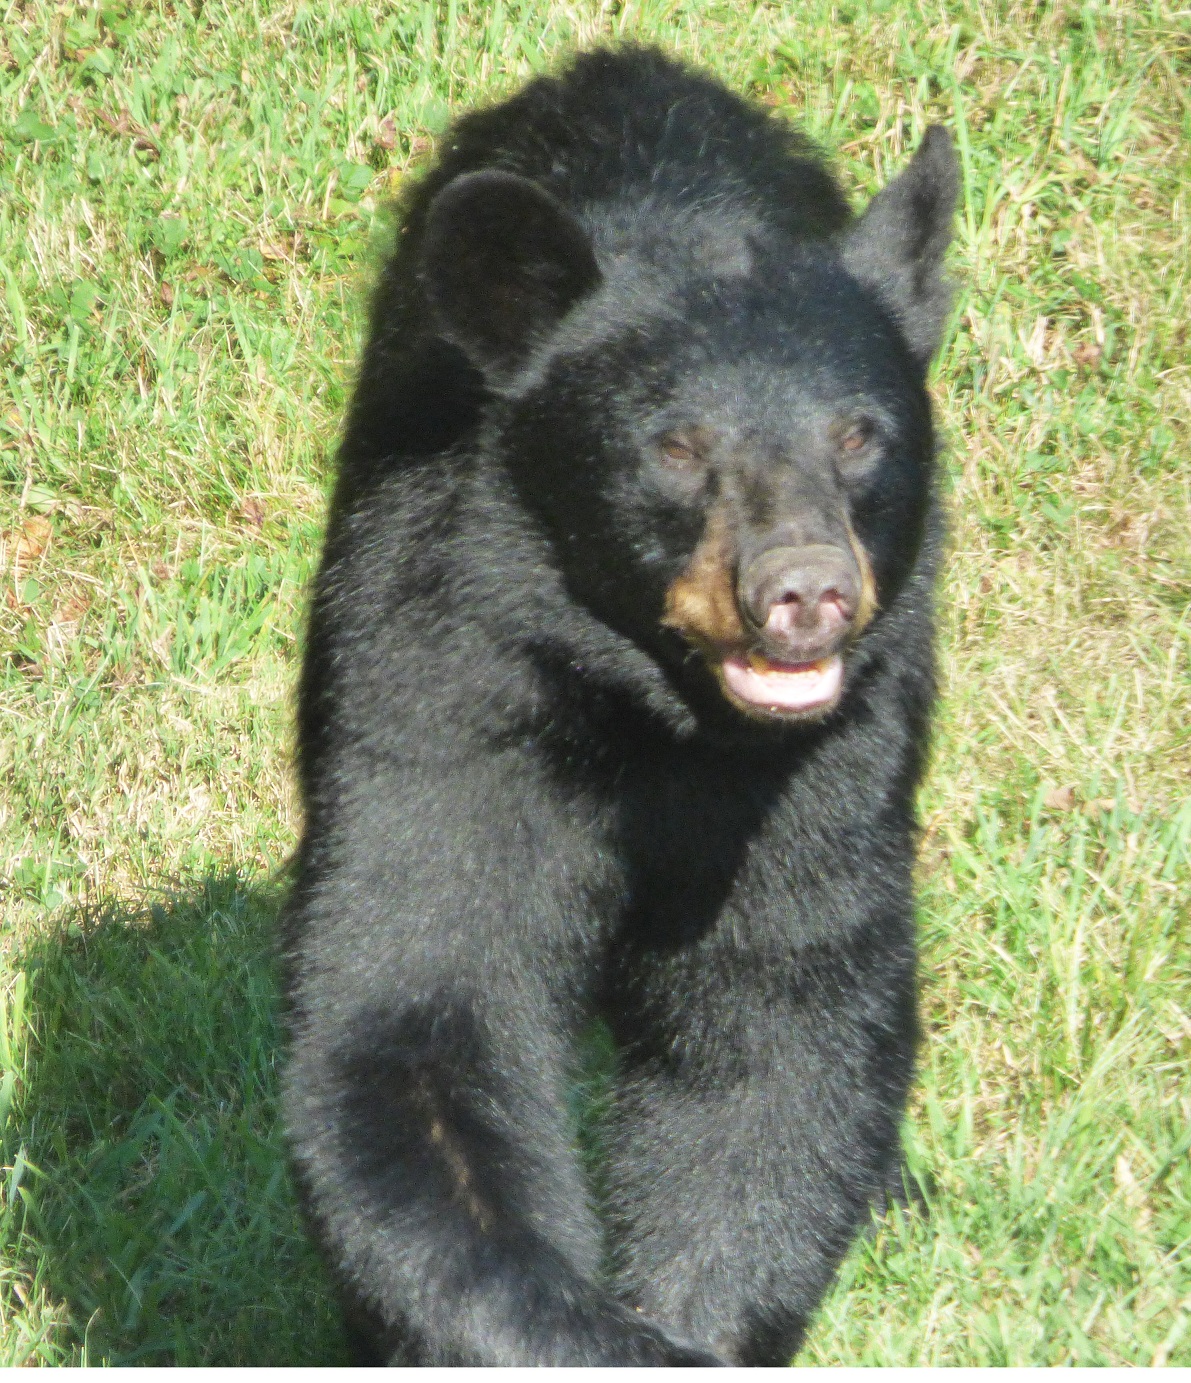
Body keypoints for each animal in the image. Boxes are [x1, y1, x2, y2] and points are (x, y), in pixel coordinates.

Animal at [281, 46, 958, 1367]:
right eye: (677, 447)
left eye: (861, 434)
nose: (805, 590)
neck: (660, 711)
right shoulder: (444, 682)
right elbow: (415, 1003)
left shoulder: (831, 766)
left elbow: (781, 1026)